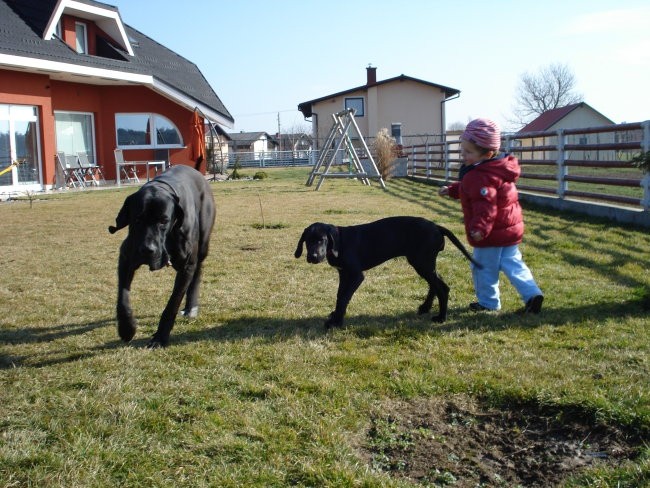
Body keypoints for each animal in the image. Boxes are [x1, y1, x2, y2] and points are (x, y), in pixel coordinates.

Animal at [107, 166, 215, 348]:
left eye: (164, 221)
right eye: (137, 219)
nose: (147, 249)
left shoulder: (186, 266)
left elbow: (172, 304)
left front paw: (160, 337)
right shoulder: (126, 258)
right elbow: (122, 298)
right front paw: (127, 328)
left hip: (202, 245)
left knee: (197, 272)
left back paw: (191, 307)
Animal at [292, 216, 476, 328]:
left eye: (321, 240)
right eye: (307, 241)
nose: (313, 257)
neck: (340, 243)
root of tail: (437, 226)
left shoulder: (355, 275)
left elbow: (344, 298)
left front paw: (336, 322)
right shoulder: (343, 274)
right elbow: (340, 296)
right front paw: (334, 316)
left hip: (422, 263)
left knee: (442, 287)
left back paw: (441, 317)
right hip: (424, 263)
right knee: (436, 284)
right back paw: (425, 308)